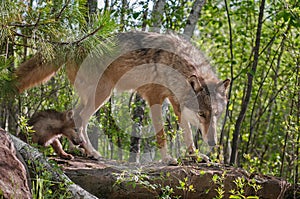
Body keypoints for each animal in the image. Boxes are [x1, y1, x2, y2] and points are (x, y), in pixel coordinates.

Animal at [14, 31, 230, 164]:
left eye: (215, 115)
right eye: (202, 114)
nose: (213, 143)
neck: (175, 64)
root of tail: (73, 44)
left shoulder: (177, 103)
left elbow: (187, 134)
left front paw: (196, 156)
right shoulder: (154, 98)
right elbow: (161, 134)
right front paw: (168, 159)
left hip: (92, 97)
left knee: (72, 118)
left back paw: (81, 151)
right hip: (102, 94)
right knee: (80, 120)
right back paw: (92, 152)